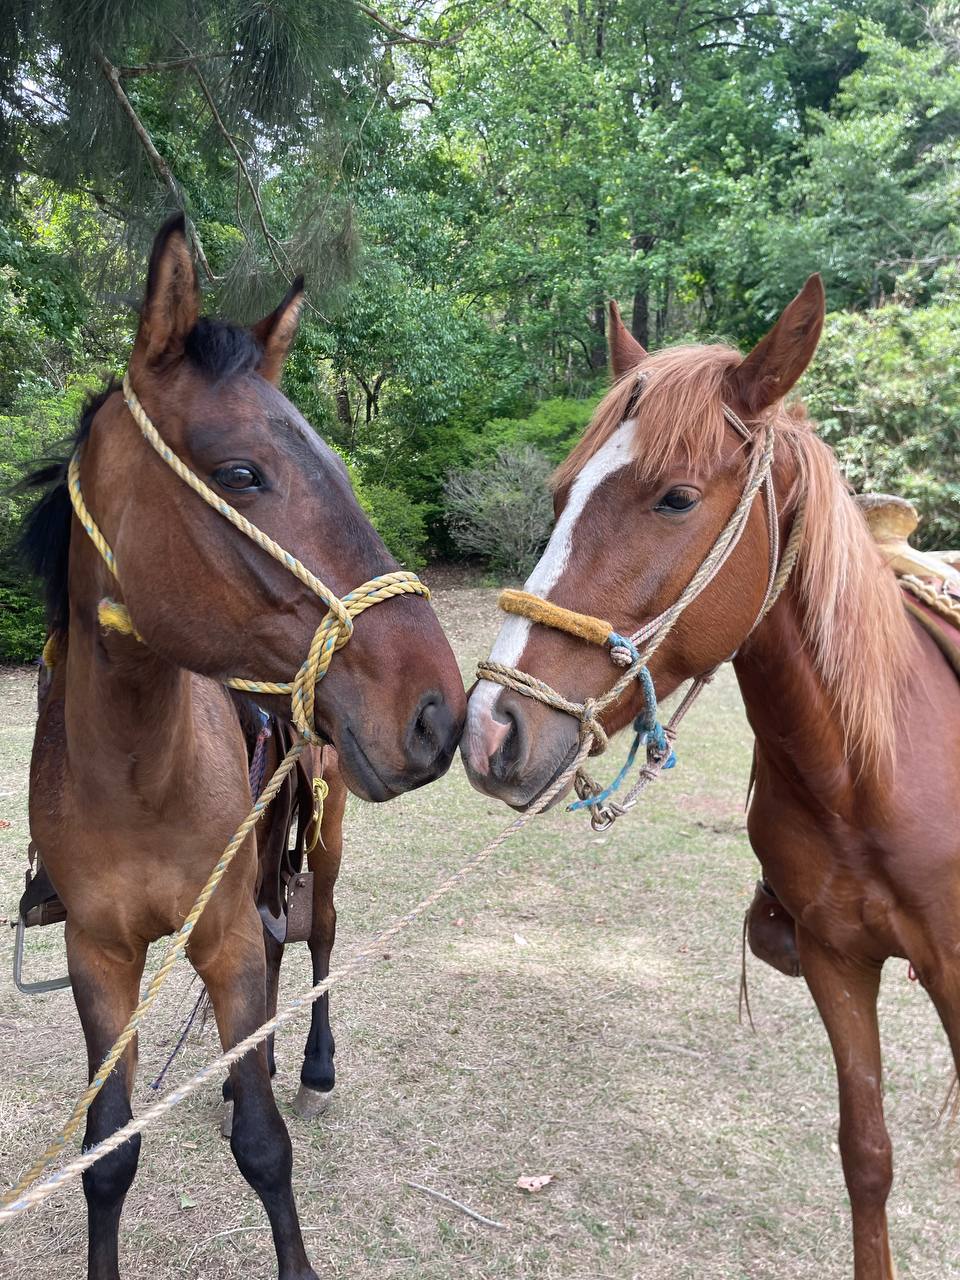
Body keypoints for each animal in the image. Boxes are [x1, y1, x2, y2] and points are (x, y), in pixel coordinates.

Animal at [15, 215, 466, 1280]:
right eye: (241, 474)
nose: (437, 710)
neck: (133, 773)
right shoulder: (100, 957)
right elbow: (106, 1154)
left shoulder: (218, 933)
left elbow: (265, 1147)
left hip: (325, 842)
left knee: (320, 936)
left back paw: (308, 1062)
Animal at [461, 277, 960, 1280]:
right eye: (562, 493)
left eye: (677, 497)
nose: (491, 730)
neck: (871, 772)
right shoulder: (837, 960)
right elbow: (867, 1156)